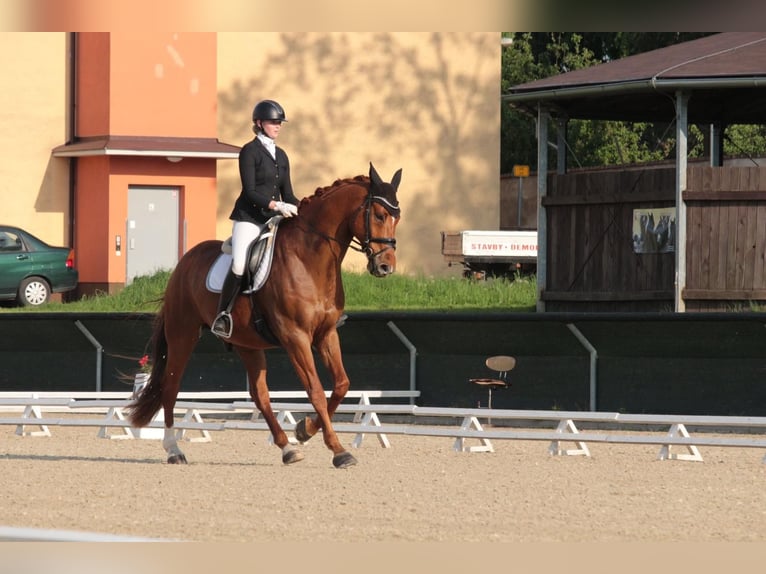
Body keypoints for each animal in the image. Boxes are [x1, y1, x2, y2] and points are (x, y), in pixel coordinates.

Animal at [126, 164, 402, 470]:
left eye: (397, 217)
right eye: (379, 215)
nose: (386, 266)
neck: (309, 261)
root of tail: (184, 262)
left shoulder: (326, 333)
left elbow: (341, 385)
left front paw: (304, 430)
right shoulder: (296, 337)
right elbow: (316, 390)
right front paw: (339, 450)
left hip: (247, 343)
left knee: (260, 395)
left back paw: (287, 448)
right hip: (182, 335)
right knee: (171, 388)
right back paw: (174, 450)